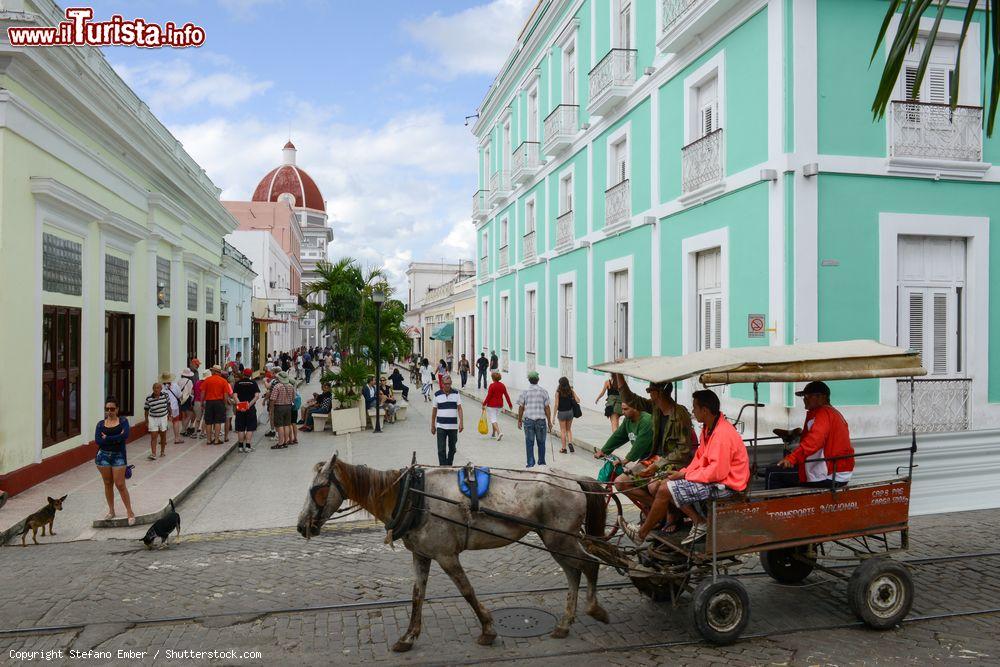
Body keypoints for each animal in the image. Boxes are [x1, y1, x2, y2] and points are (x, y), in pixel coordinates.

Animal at [296, 454, 608, 652]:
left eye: (317, 489)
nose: (301, 526)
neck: (413, 495)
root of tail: (572, 478)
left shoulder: (446, 556)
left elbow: (467, 591)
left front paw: (488, 630)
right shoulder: (421, 555)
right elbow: (417, 595)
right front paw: (408, 637)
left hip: (560, 539)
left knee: (589, 566)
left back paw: (594, 608)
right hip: (556, 540)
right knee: (574, 572)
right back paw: (565, 623)